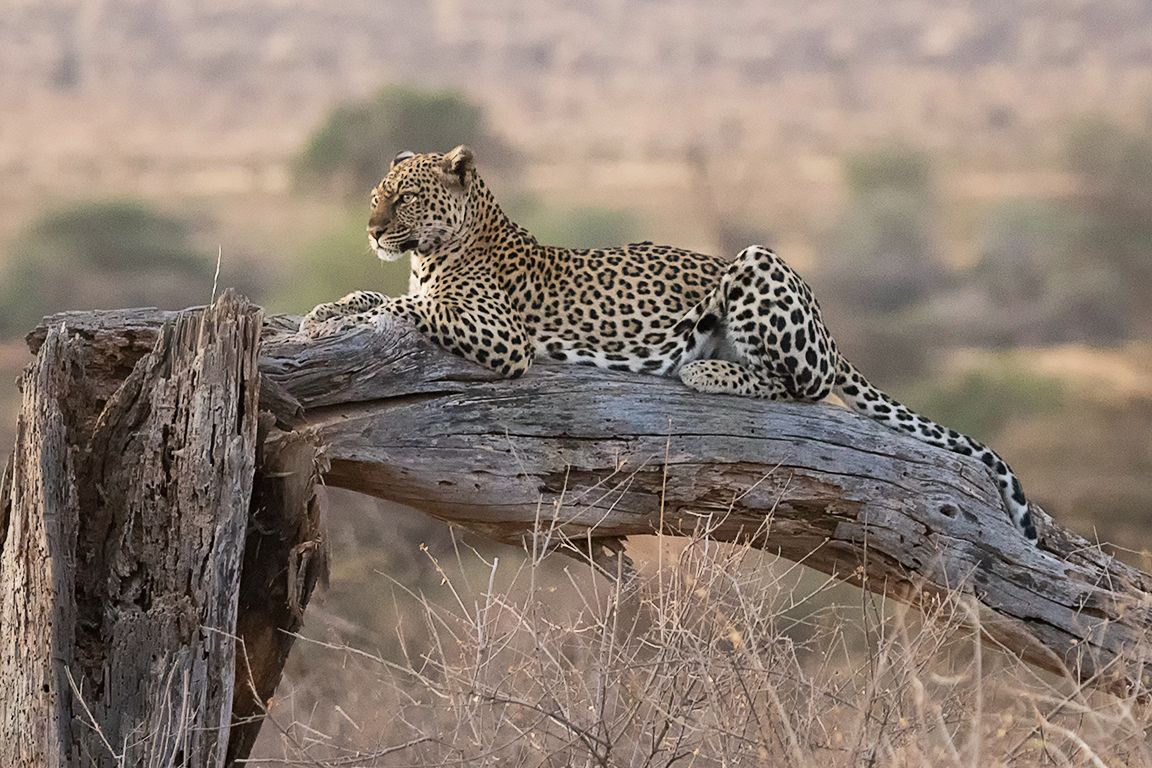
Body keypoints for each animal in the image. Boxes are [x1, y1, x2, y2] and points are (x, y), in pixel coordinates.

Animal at [301, 145, 1038, 542]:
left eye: (404, 199)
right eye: (377, 195)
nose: (371, 229)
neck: (437, 251)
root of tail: (830, 330)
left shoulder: (501, 335)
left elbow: (408, 305)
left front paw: (337, 315)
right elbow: (384, 298)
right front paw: (328, 310)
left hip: (756, 264)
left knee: (804, 387)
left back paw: (707, 371)